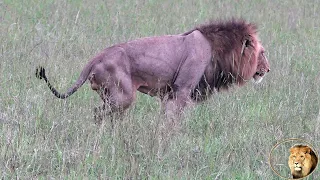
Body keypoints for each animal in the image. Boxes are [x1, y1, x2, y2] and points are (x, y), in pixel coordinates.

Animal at [35, 19, 270, 120]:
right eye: (263, 53)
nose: (268, 70)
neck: (217, 50)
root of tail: (96, 57)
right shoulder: (182, 90)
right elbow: (173, 120)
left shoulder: (170, 94)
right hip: (122, 96)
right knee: (98, 113)